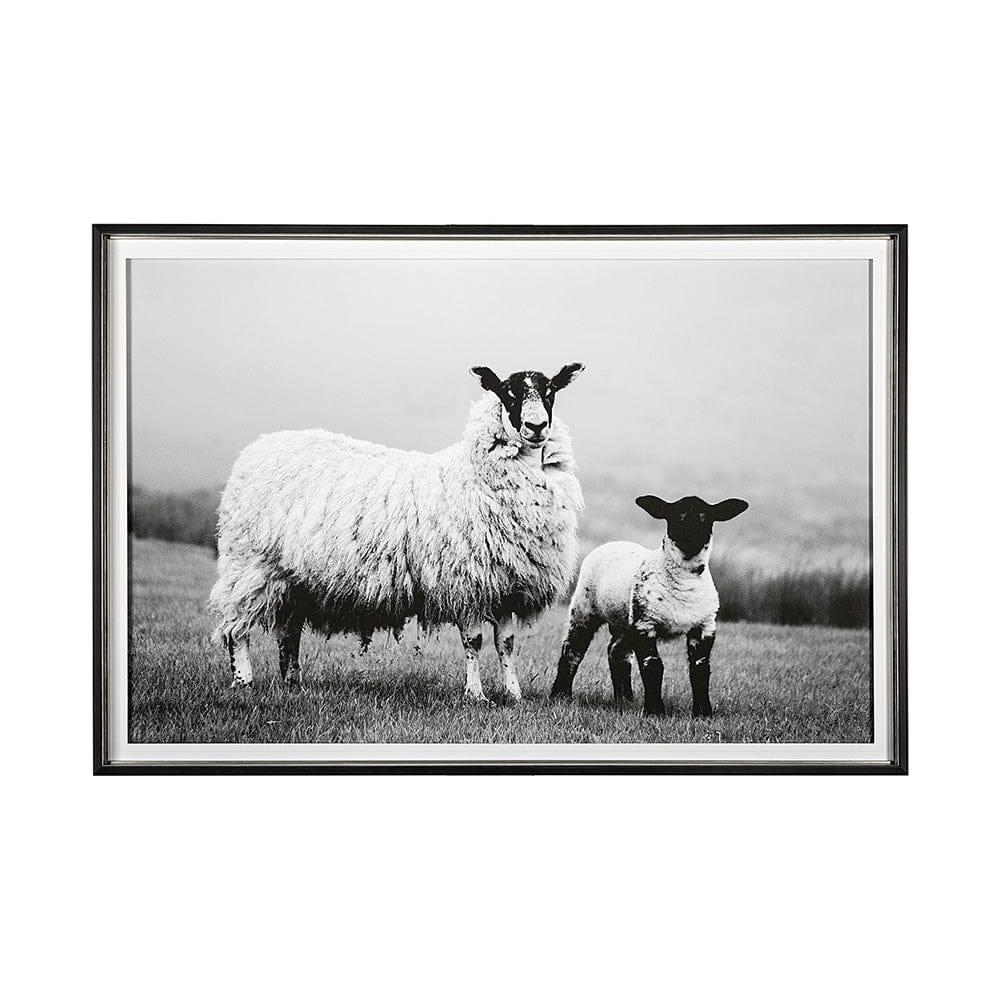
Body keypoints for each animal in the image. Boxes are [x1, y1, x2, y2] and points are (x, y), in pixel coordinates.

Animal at [208, 363, 586, 700]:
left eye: (550, 390)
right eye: (508, 393)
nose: (536, 426)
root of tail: (257, 447)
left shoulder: (507, 585)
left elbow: (505, 644)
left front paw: (513, 694)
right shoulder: (465, 582)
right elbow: (474, 642)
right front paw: (476, 695)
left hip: (294, 579)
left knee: (288, 632)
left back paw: (292, 682)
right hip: (250, 565)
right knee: (236, 628)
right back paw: (244, 681)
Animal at [550, 494, 748, 717]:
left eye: (705, 516)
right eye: (675, 515)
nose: (692, 537)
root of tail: (614, 542)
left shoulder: (704, 626)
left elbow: (700, 668)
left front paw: (703, 712)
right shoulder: (645, 624)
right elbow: (653, 665)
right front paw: (655, 710)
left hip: (625, 622)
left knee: (616, 651)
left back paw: (624, 699)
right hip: (584, 609)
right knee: (572, 651)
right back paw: (560, 695)